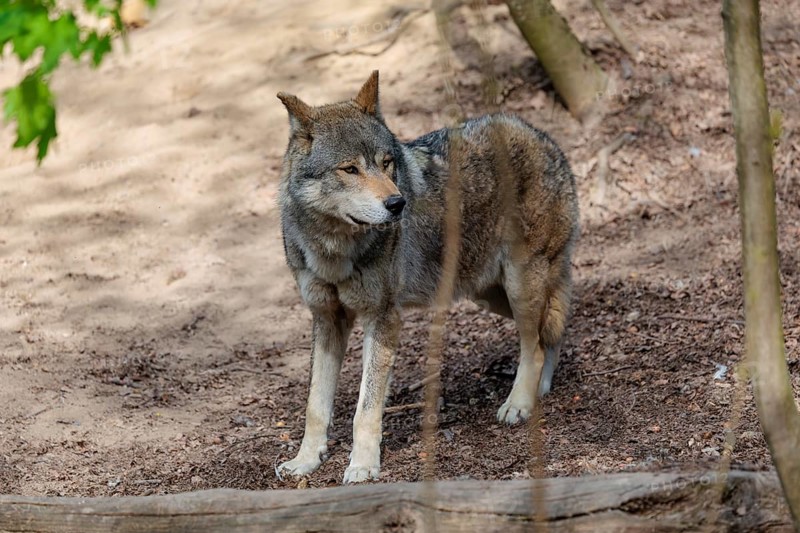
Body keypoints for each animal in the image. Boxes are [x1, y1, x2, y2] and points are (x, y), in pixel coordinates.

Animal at [276, 71, 578, 484]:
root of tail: (546, 140)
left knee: (535, 344)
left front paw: (363, 466)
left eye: (387, 163)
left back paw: (518, 404)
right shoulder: (326, 320)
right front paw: (305, 460)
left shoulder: (383, 318)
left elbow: (365, 408)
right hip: (491, 296)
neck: (334, 250)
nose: (397, 203)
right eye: (350, 169)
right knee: (552, 330)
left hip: (519, 286)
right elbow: (315, 405)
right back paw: (540, 390)